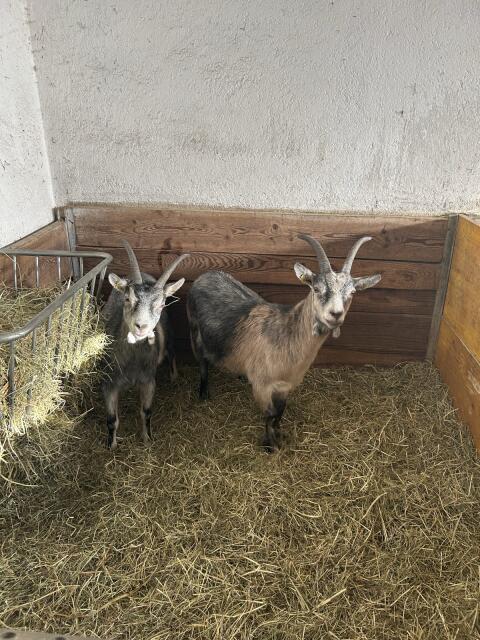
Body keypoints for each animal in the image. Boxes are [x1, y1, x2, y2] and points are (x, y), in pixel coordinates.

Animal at [102, 241, 188, 449]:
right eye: (127, 298)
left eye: (161, 304)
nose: (141, 326)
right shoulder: (109, 383)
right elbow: (111, 419)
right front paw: (111, 445)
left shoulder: (148, 380)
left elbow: (146, 411)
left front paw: (147, 438)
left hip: (170, 335)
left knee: (171, 353)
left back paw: (174, 376)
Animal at [187, 234, 381, 452]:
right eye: (316, 289)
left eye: (352, 293)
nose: (336, 314)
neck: (287, 337)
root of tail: (205, 275)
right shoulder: (262, 386)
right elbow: (270, 414)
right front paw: (269, 445)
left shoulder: (285, 386)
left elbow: (280, 412)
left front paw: (278, 433)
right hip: (194, 329)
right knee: (202, 362)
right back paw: (203, 393)